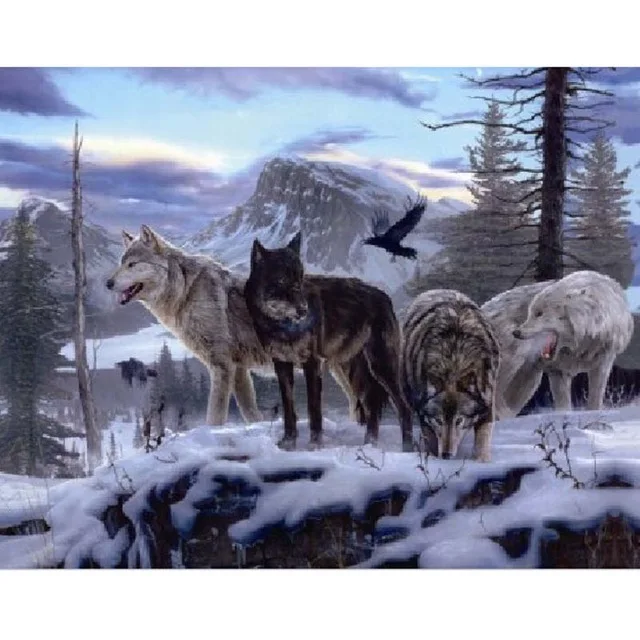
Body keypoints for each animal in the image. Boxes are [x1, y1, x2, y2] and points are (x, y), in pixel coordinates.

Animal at [105, 225, 359, 427]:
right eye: (121, 264)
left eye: (132, 264)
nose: (108, 283)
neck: (186, 291)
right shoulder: (238, 369)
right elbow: (251, 414)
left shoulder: (222, 366)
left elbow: (214, 416)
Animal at [244, 232, 414, 452]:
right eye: (281, 280)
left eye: (300, 278)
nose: (303, 310)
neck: (282, 326)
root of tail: (385, 297)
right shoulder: (281, 365)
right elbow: (289, 409)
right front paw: (288, 443)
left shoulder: (312, 364)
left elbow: (314, 408)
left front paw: (315, 444)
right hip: (353, 371)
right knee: (371, 406)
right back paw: (368, 446)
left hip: (381, 368)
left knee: (404, 407)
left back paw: (406, 449)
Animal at [402, 289, 500, 462]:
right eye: (439, 420)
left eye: (459, 420)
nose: (446, 455)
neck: (454, 361)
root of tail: (437, 290)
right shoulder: (425, 416)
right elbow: (432, 443)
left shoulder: (488, 404)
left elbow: (482, 443)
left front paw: (481, 461)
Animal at [483, 271, 634, 417]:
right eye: (530, 313)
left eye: (539, 313)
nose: (516, 332)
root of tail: (484, 307)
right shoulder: (558, 370)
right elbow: (564, 406)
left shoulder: (603, 363)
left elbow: (595, 402)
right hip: (514, 362)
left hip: (530, 380)